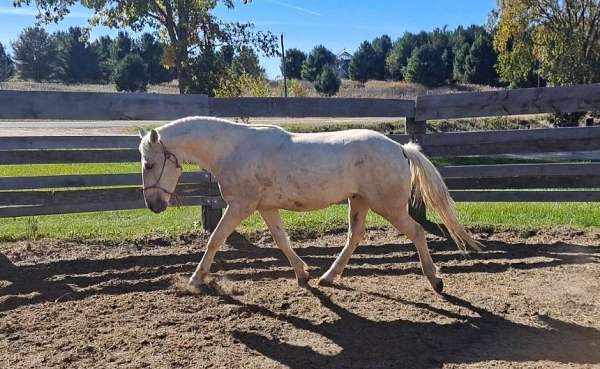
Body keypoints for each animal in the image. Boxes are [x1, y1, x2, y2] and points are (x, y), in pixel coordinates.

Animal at [138, 116, 480, 292]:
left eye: (149, 164)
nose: (154, 205)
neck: (235, 149)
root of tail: (400, 148)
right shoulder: (266, 207)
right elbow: (282, 240)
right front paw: (302, 274)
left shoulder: (240, 206)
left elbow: (215, 240)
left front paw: (195, 279)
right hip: (360, 202)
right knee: (354, 238)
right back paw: (327, 277)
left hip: (389, 207)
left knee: (417, 232)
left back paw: (436, 280)